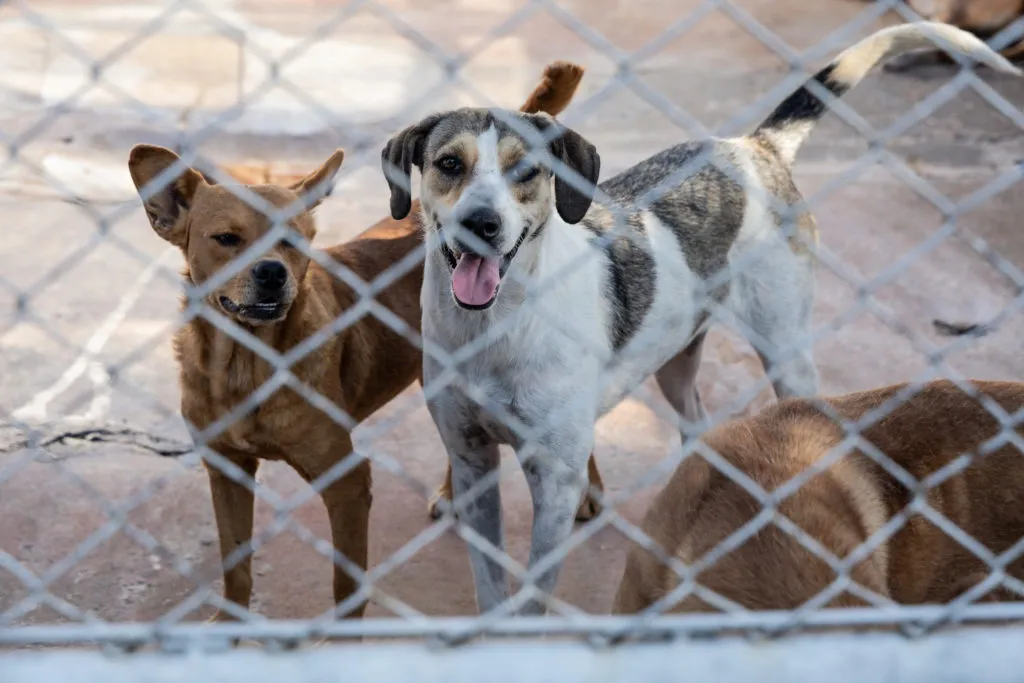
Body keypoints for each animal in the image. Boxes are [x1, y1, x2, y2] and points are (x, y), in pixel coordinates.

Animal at [131, 61, 602, 622]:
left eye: (294, 240)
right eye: (227, 239)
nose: (271, 274)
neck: (245, 363)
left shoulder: (348, 480)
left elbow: (347, 580)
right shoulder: (226, 471)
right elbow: (236, 566)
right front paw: (230, 623)